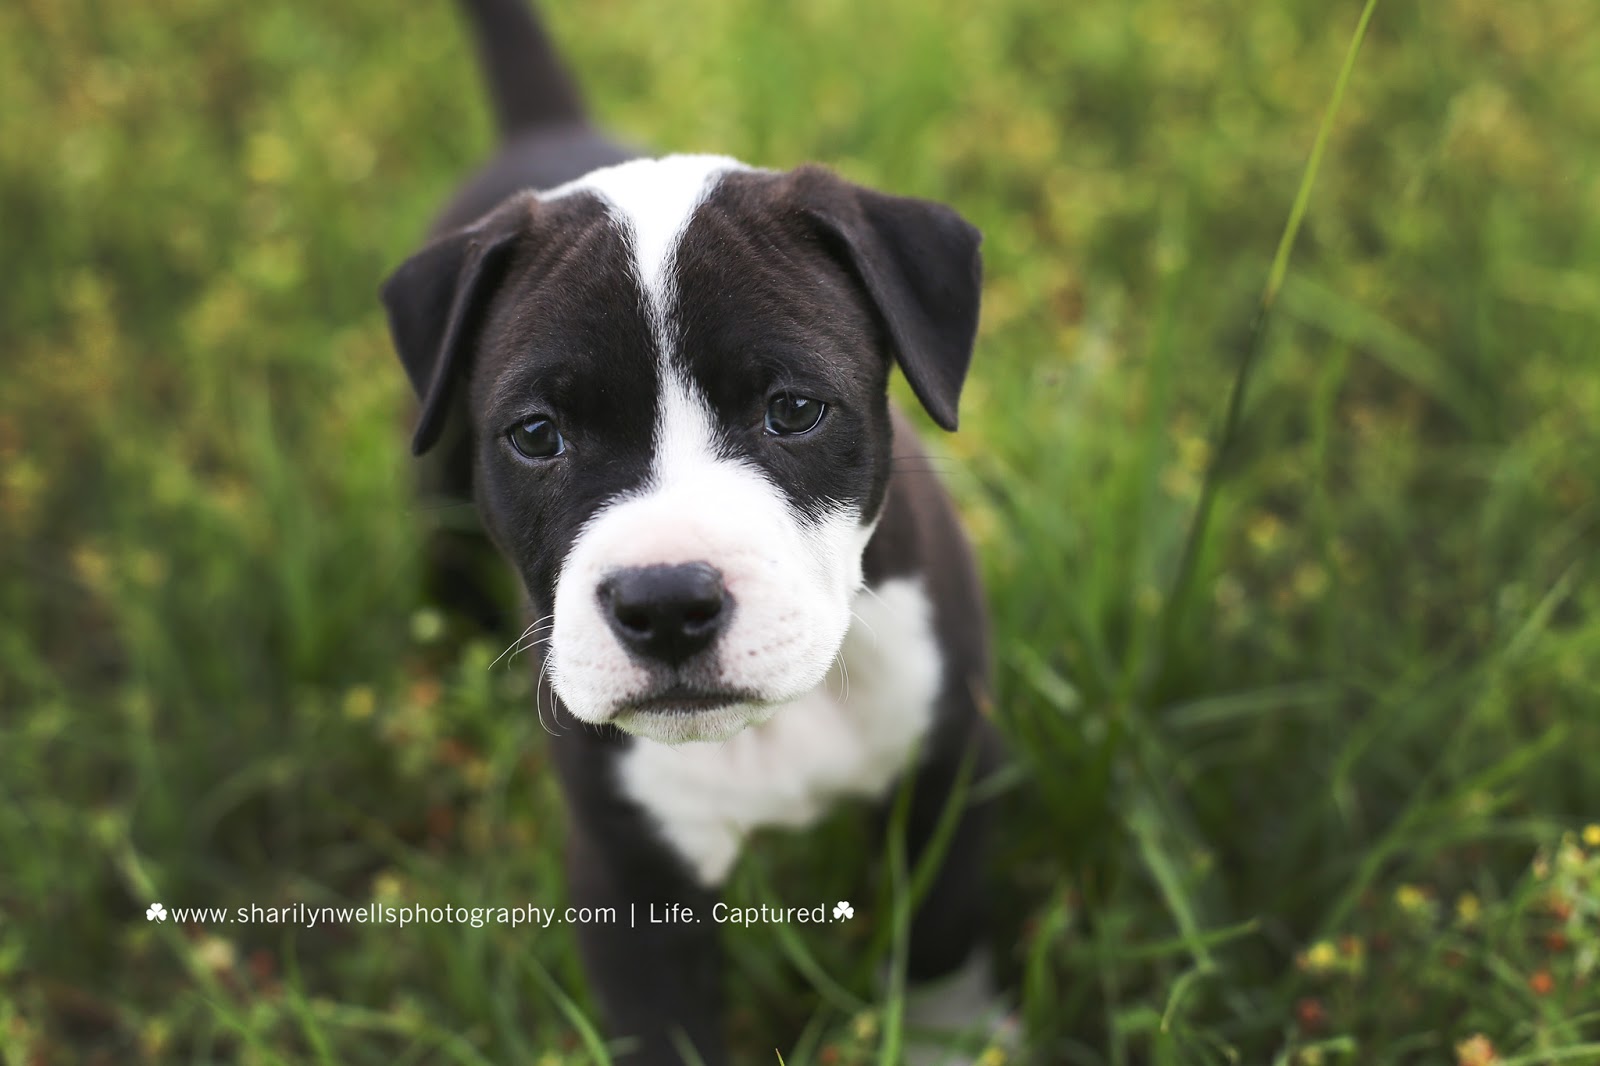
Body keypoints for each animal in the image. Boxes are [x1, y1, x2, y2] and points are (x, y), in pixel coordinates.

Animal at [379, 2, 998, 1056]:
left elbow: (947, 935)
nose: (665, 604)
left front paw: (954, 1040)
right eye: (537, 435)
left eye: (794, 410)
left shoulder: (947, 766)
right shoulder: (630, 879)